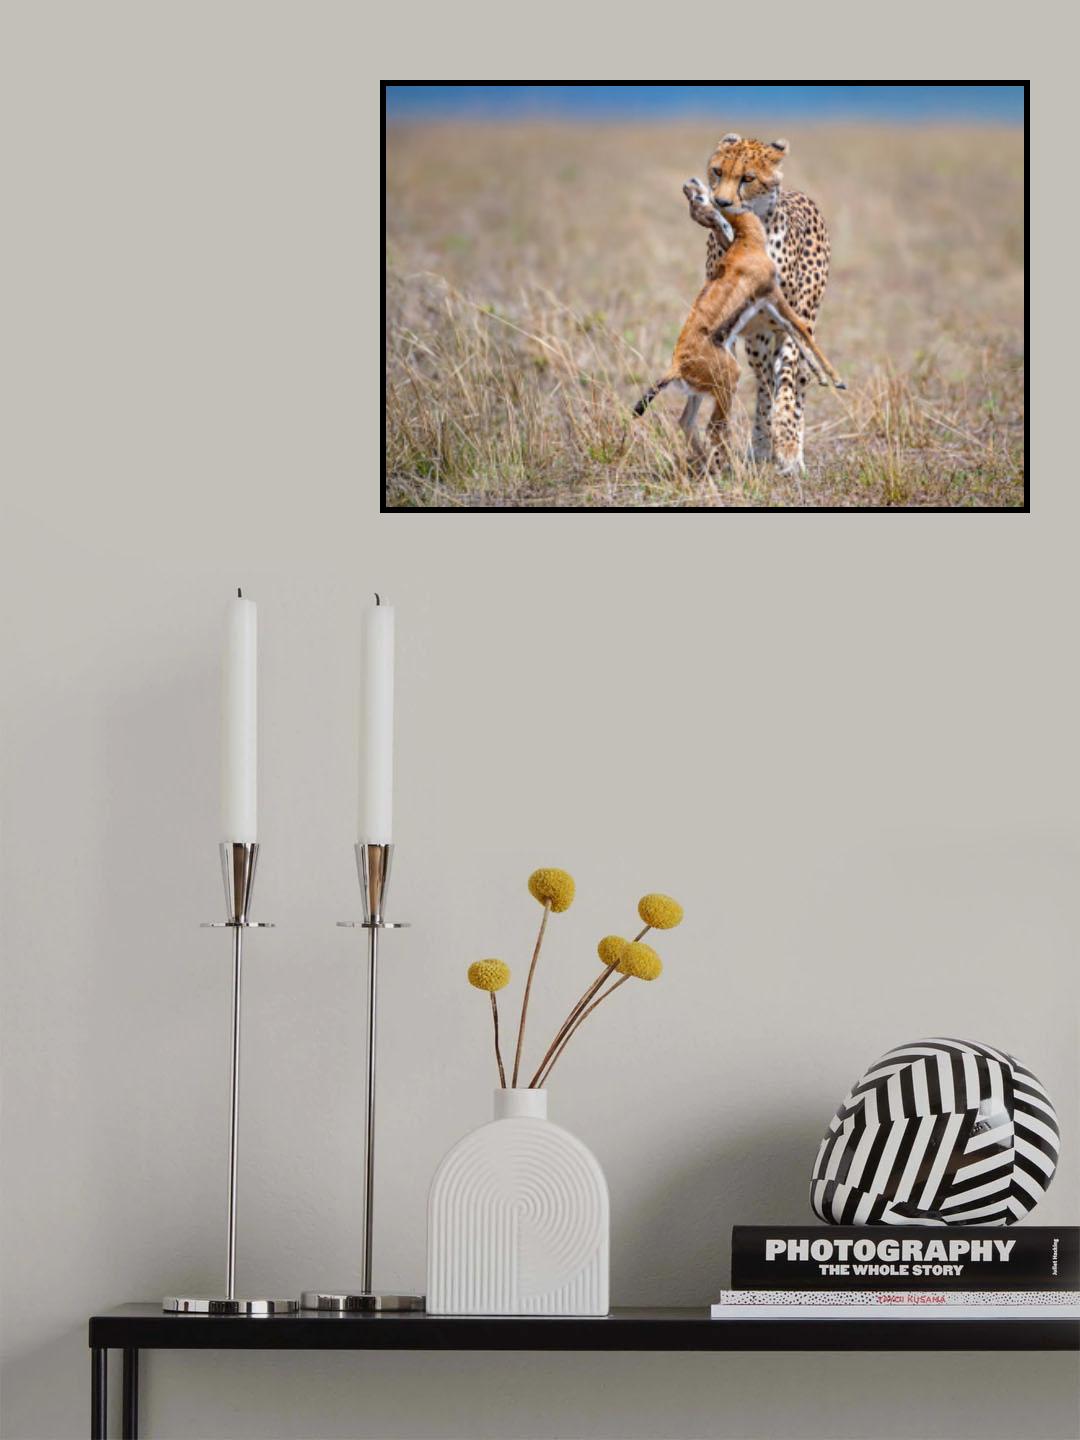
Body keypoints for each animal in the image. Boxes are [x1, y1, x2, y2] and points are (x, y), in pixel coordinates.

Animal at [688, 133, 831, 474]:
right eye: (717, 171)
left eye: (747, 178)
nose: (721, 203)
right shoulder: (730, 324)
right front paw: (725, 453)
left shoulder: (791, 321)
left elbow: (788, 385)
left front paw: (789, 446)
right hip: (757, 341)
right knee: (764, 383)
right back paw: (764, 443)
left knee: (793, 381)